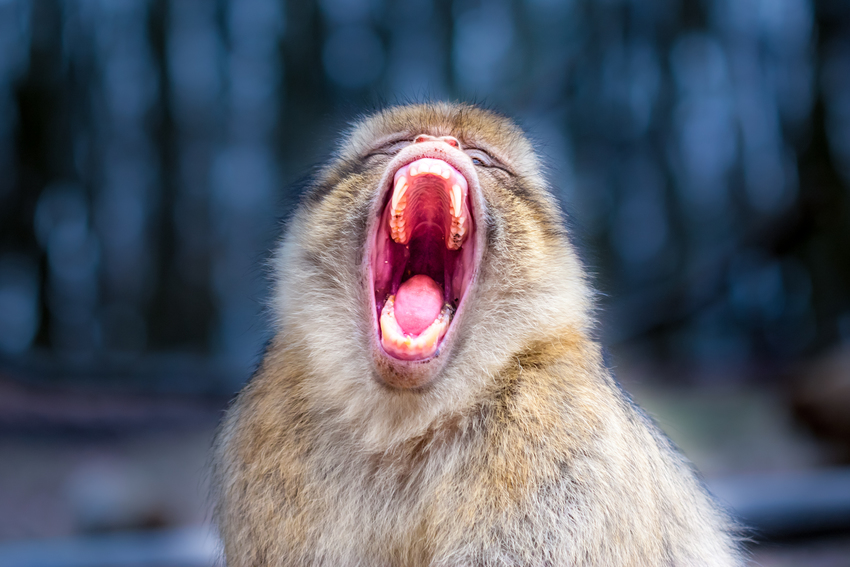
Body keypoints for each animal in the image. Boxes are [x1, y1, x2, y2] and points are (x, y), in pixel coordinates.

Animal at [212, 103, 744, 567]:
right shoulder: (269, 422)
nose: (437, 142)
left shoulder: (558, 427)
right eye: (395, 145)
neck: (404, 423)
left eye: (484, 160)